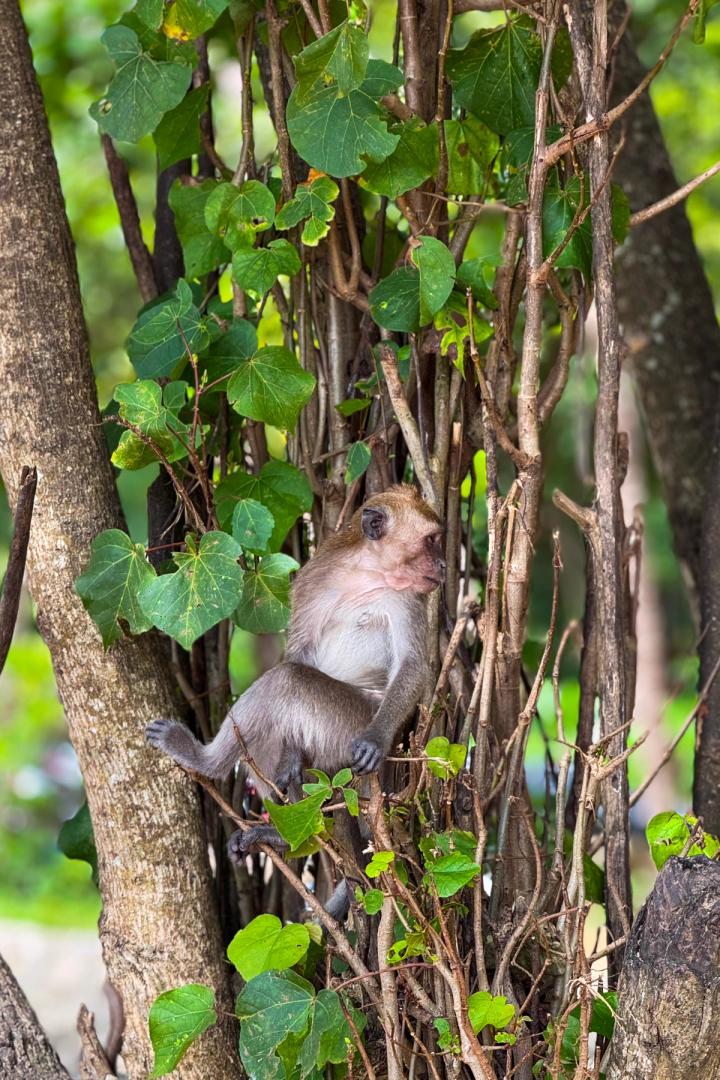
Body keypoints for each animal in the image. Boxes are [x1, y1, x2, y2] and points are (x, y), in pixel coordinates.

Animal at [146, 484, 444, 868]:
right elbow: (301, 651)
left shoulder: (409, 598)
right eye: (431, 541)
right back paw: (278, 817)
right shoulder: (315, 578)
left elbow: (412, 664)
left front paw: (376, 738)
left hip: (347, 723)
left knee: (285, 681)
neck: (368, 573)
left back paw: (211, 769)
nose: (444, 564)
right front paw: (290, 759)